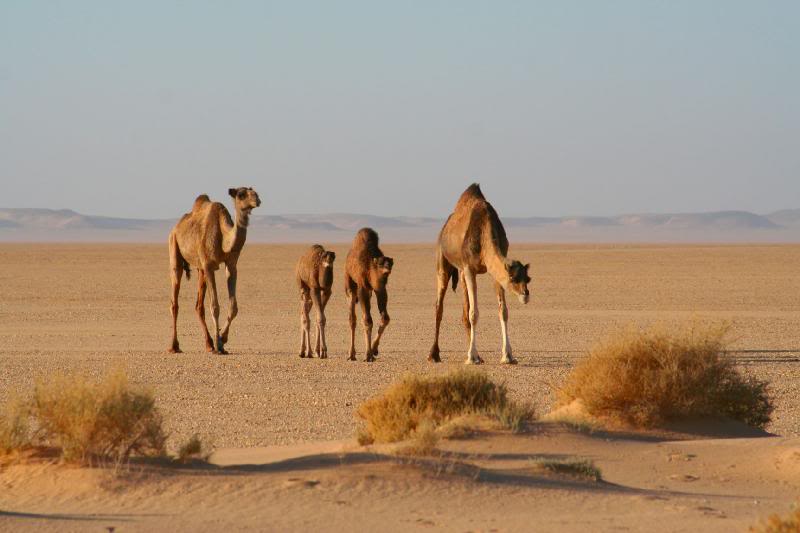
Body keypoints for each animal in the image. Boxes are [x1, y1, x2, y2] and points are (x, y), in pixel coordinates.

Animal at [167, 187, 261, 354]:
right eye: (241, 194)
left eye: (255, 192)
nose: (257, 200)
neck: (223, 239)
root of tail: (176, 227)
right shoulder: (209, 266)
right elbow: (215, 306)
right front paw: (219, 345)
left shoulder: (231, 265)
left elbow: (233, 307)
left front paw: (222, 340)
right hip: (174, 248)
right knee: (174, 302)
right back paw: (174, 346)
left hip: (200, 269)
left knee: (198, 306)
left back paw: (209, 344)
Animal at [344, 228, 393, 362]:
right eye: (381, 263)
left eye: (391, 263)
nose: (387, 268)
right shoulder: (363, 287)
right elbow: (367, 320)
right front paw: (368, 354)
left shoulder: (380, 289)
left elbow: (385, 318)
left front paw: (374, 350)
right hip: (349, 281)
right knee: (352, 318)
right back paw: (351, 354)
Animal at [429, 183, 531, 365]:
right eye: (513, 278)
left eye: (528, 278)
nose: (525, 295)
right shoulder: (470, 268)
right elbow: (474, 313)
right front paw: (471, 357)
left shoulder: (493, 272)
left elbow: (503, 311)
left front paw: (508, 355)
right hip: (443, 261)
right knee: (439, 306)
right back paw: (434, 354)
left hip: (461, 271)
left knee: (464, 309)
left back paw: (478, 355)